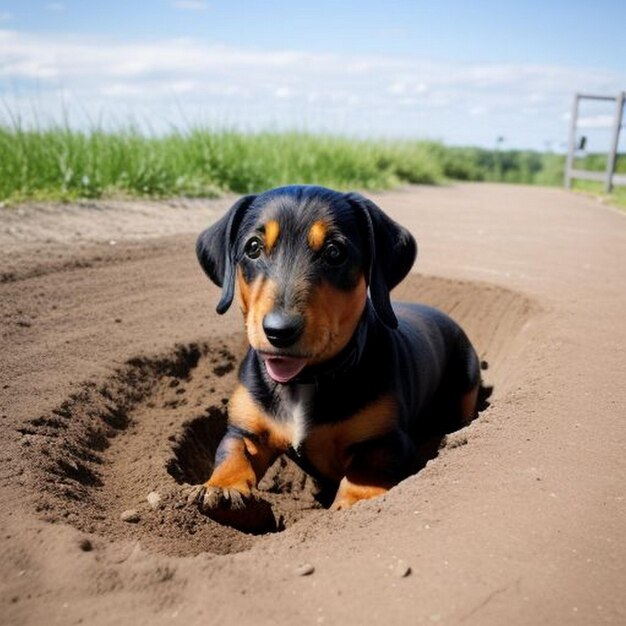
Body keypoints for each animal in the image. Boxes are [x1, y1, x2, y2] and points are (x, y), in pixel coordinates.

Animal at [190, 184, 478, 520]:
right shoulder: (244, 430)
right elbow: (232, 452)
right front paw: (223, 488)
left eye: (334, 252)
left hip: (466, 384)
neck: (304, 381)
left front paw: (352, 503)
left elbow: (365, 469)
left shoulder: (388, 441)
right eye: (253, 248)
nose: (279, 331)